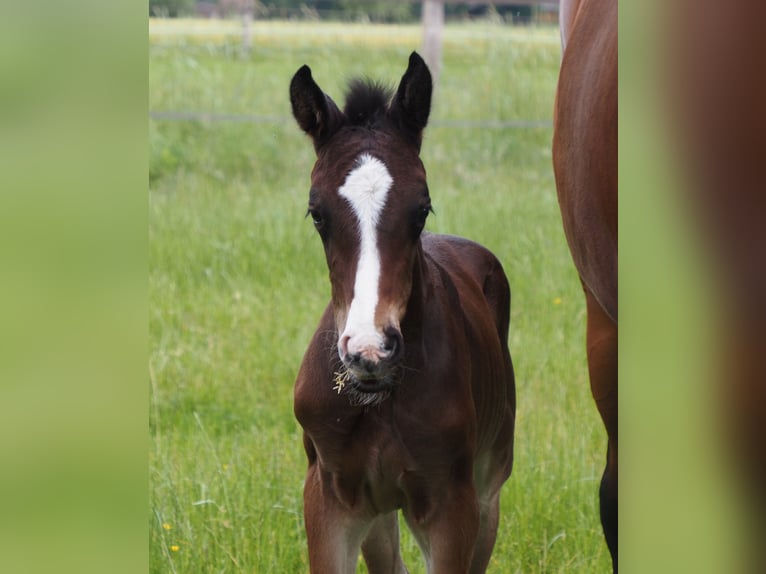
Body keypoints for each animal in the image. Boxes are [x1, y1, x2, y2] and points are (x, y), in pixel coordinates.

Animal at [290, 52, 516, 574]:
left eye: (421, 209)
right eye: (317, 213)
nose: (370, 349)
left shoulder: (451, 503)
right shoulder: (330, 497)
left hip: (488, 488)